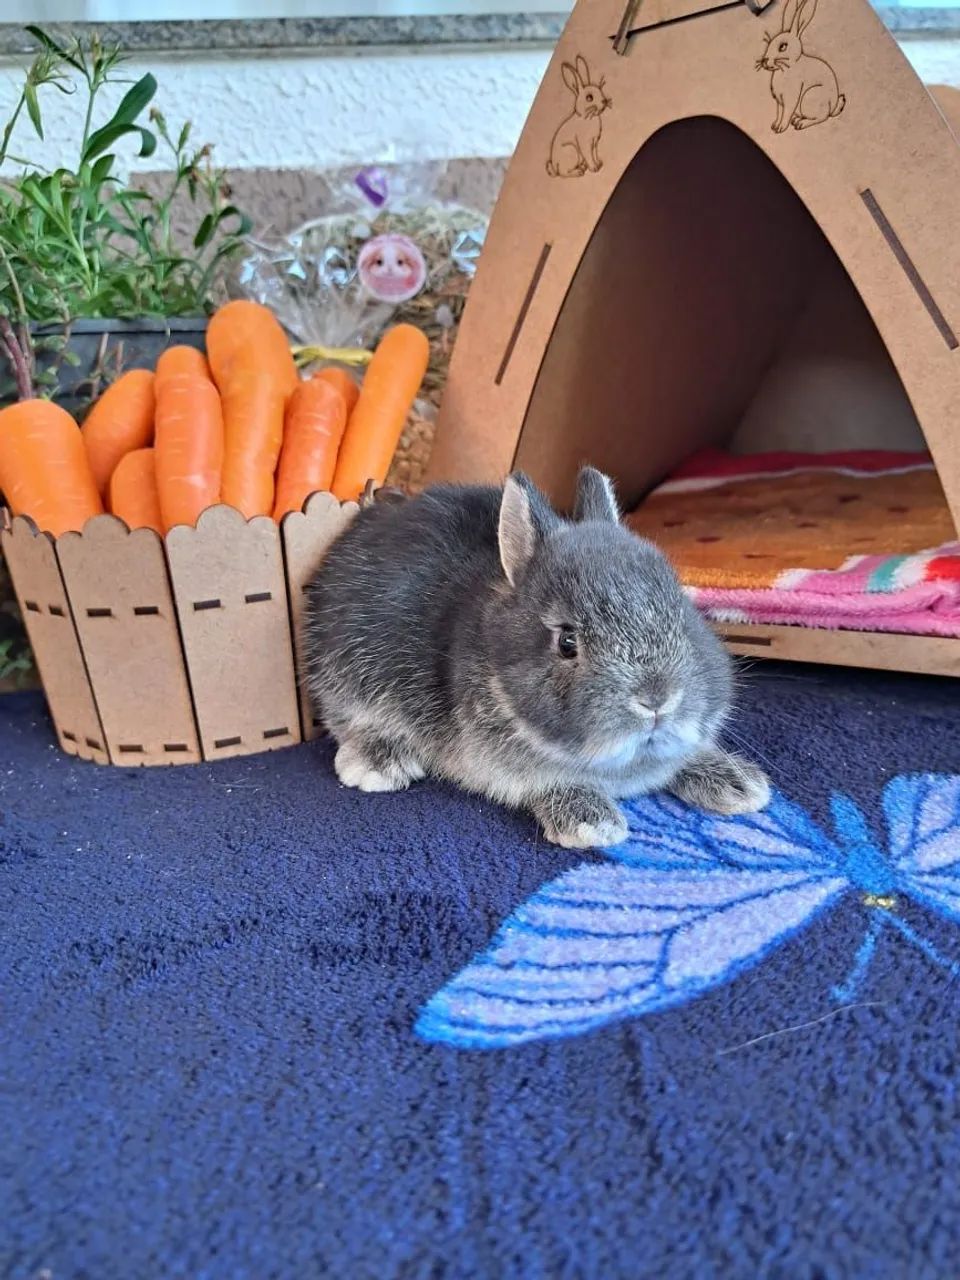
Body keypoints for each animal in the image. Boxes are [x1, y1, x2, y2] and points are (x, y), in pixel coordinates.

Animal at [303, 468, 770, 850]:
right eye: (567, 642)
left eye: (683, 606)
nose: (657, 699)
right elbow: (549, 783)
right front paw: (592, 824)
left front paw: (743, 787)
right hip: (349, 672)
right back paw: (378, 764)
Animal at [758, 0, 845, 134]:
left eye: (783, 46)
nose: (765, 61)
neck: (786, 69)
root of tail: (832, 107)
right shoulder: (779, 102)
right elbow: (779, 114)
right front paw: (775, 126)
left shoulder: (791, 99)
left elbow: (786, 114)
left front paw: (780, 128)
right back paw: (797, 120)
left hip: (809, 97)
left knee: (821, 117)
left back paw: (801, 123)